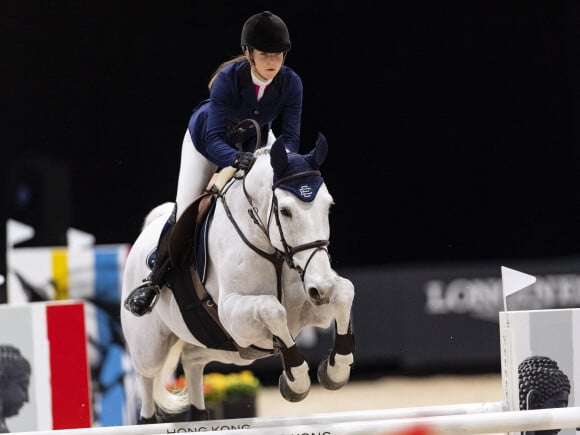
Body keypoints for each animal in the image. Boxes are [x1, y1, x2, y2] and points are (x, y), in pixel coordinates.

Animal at [120, 132, 356, 422]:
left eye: (328, 206)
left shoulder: (308, 307)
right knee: (146, 380)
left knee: (192, 360)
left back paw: (198, 416)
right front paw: (297, 382)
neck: (274, 252)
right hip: (149, 347)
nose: (321, 289)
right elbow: (272, 308)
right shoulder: (233, 316)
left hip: (223, 350)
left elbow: (345, 291)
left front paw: (336, 370)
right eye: (285, 211)